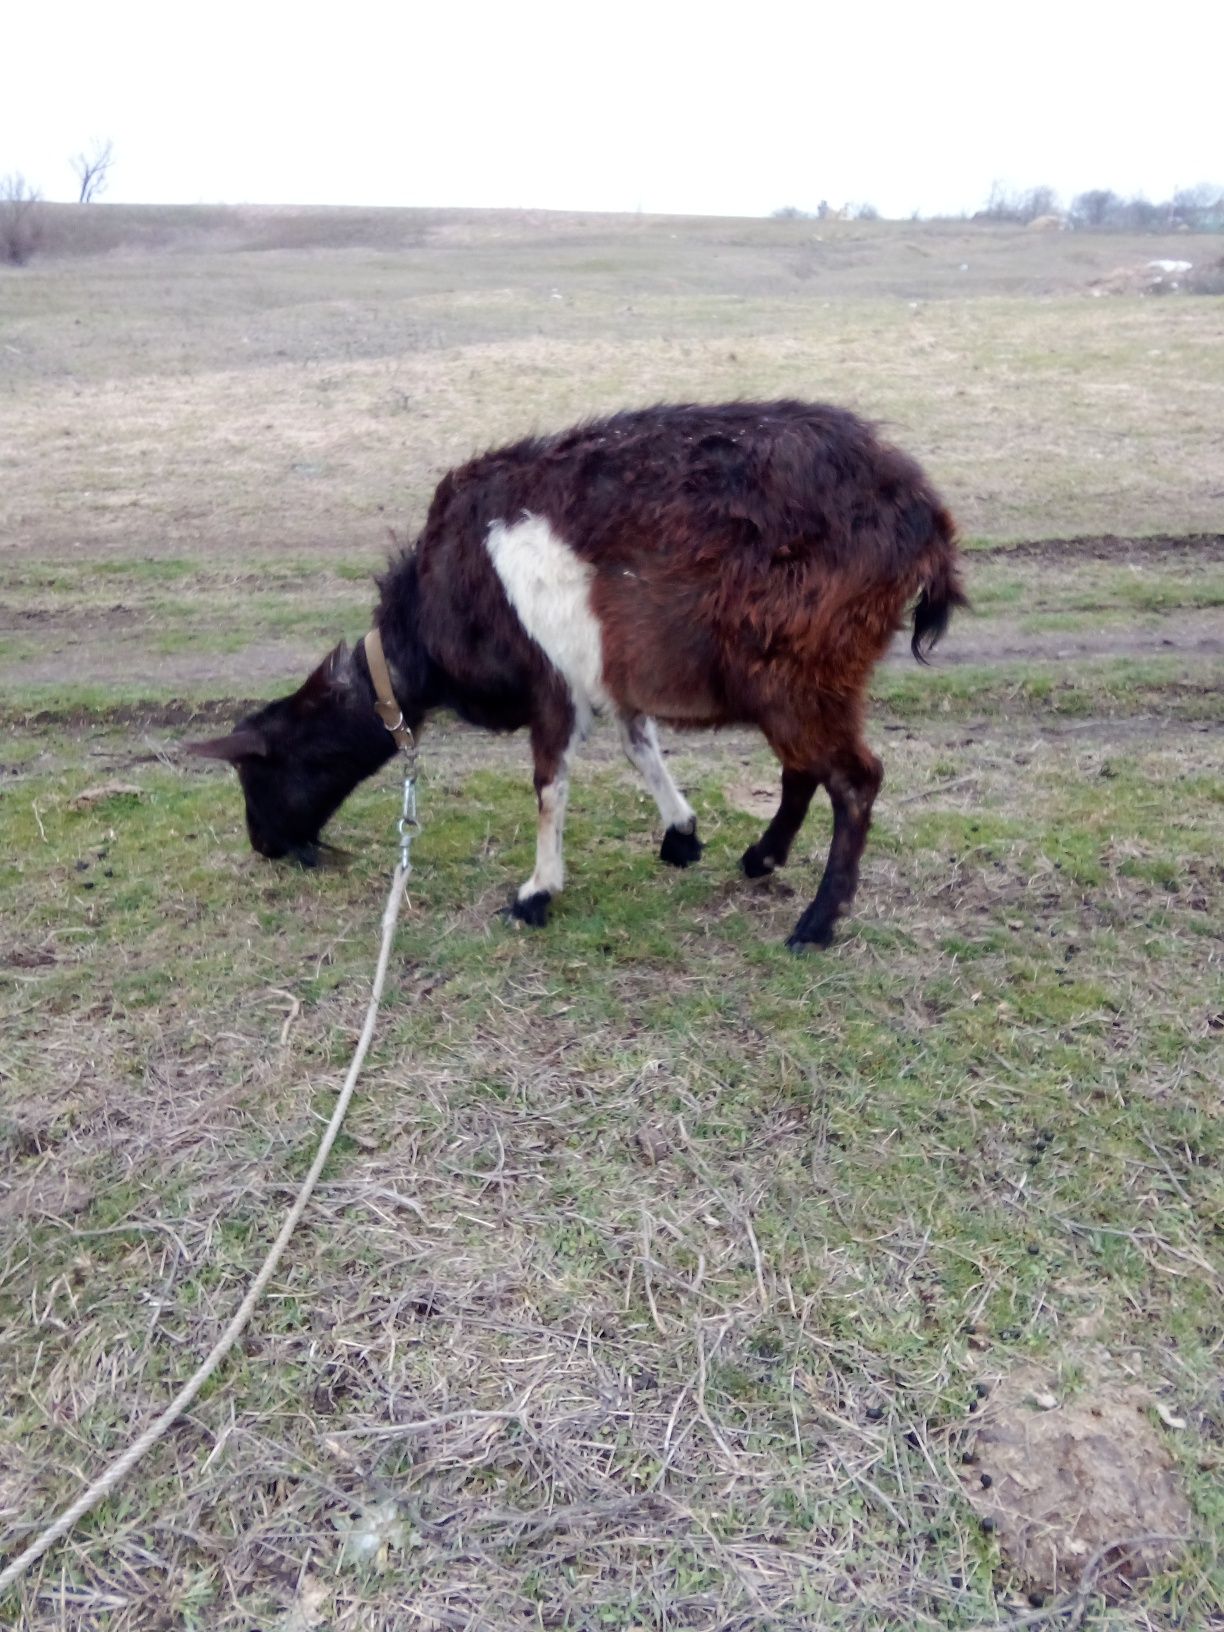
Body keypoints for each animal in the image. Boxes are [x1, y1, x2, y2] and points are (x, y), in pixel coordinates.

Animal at [191, 399, 966, 953]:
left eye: (259, 772)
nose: (262, 846)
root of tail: (923, 517)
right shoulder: (607, 673)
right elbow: (638, 745)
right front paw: (682, 834)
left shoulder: (551, 683)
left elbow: (549, 786)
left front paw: (536, 895)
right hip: (798, 681)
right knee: (805, 769)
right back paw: (761, 859)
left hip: (802, 670)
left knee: (856, 780)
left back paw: (816, 924)